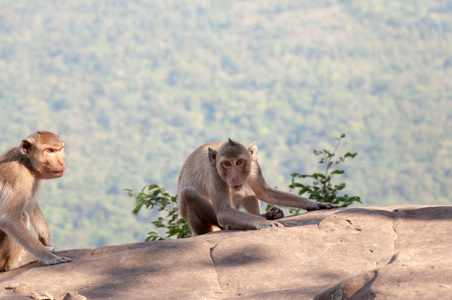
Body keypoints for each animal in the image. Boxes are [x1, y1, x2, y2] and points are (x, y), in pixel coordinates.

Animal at [0, 130, 71, 270]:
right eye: (49, 151)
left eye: (60, 149)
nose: (61, 162)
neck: (27, 163)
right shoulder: (20, 178)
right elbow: (8, 219)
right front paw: (51, 258)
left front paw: (45, 238)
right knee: (21, 215)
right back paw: (15, 262)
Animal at [178, 139, 338, 237]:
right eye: (227, 164)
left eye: (239, 162)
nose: (234, 177)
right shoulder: (214, 172)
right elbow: (223, 211)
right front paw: (264, 223)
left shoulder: (253, 165)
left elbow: (264, 192)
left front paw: (313, 203)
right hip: (205, 226)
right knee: (187, 193)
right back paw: (232, 226)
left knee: (246, 190)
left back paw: (266, 214)